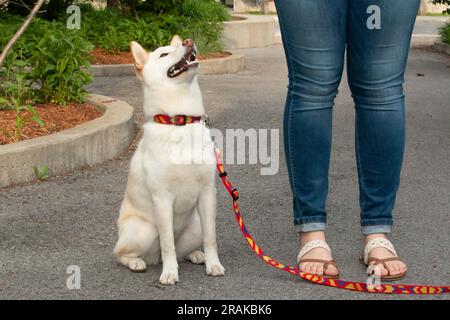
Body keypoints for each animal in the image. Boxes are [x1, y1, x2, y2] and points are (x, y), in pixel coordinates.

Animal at [113, 36, 224, 284]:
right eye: (163, 54)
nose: (189, 41)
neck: (180, 122)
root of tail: (153, 258)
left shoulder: (207, 193)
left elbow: (211, 238)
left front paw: (213, 264)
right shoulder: (162, 198)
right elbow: (168, 244)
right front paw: (170, 273)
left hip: (195, 225)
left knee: (185, 249)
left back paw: (196, 254)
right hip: (144, 230)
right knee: (121, 253)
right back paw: (136, 262)